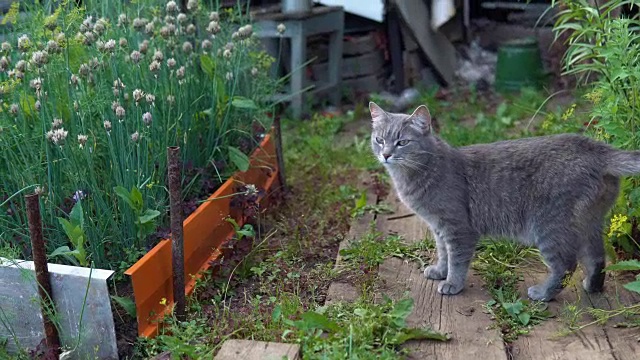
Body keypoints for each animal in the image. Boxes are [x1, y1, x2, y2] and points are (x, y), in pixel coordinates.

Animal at [370, 101, 640, 300]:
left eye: (402, 142)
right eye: (379, 140)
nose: (386, 154)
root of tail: (595, 148)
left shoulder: (458, 228)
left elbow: (457, 258)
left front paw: (452, 283)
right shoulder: (439, 227)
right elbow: (444, 252)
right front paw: (440, 271)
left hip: (550, 226)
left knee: (566, 264)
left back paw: (543, 293)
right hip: (588, 222)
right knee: (596, 257)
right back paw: (592, 287)